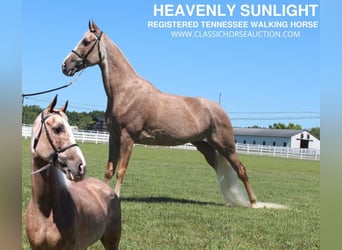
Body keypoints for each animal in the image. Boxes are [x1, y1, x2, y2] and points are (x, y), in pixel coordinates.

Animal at [62, 20, 258, 207]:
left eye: (86, 41)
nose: (65, 65)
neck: (126, 91)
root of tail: (219, 109)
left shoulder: (127, 138)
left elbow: (121, 171)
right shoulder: (114, 138)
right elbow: (109, 170)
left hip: (226, 146)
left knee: (241, 170)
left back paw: (254, 202)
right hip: (205, 146)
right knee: (222, 170)